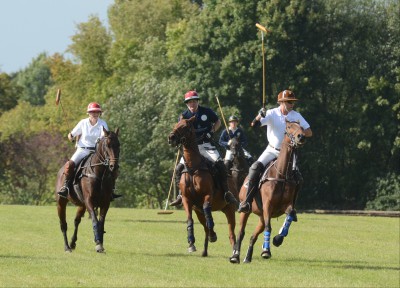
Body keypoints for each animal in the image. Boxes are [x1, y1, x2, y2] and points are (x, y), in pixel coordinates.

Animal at [167, 116, 236, 258]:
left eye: (185, 126)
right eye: (176, 124)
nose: (171, 137)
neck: (193, 167)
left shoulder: (208, 195)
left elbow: (208, 212)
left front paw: (213, 234)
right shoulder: (187, 199)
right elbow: (189, 220)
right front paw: (191, 243)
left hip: (230, 208)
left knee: (231, 232)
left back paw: (234, 252)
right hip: (199, 211)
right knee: (205, 228)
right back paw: (205, 250)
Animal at [228, 119, 306, 264]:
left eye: (302, 127)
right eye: (289, 127)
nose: (301, 137)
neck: (282, 175)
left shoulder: (286, 205)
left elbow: (290, 216)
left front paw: (277, 239)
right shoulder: (268, 205)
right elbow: (269, 227)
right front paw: (266, 251)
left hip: (261, 216)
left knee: (253, 236)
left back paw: (247, 257)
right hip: (246, 210)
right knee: (241, 232)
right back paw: (235, 256)